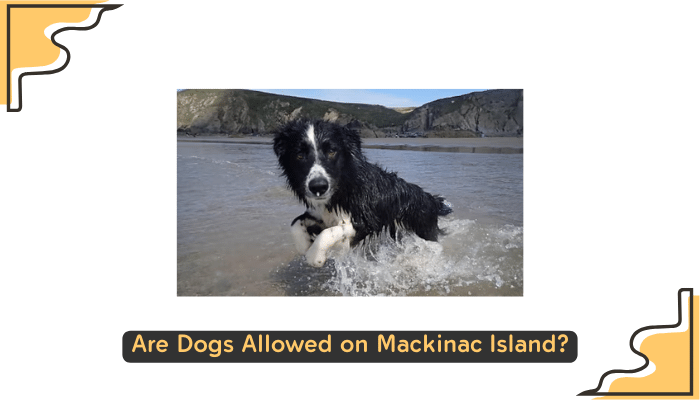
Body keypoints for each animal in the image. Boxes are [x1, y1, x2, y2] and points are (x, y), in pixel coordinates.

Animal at [270, 119, 452, 268]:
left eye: (331, 151)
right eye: (299, 155)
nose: (318, 187)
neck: (343, 187)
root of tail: (431, 199)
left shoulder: (367, 219)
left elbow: (330, 232)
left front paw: (315, 257)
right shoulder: (319, 214)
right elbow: (295, 223)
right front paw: (304, 245)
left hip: (425, 230)